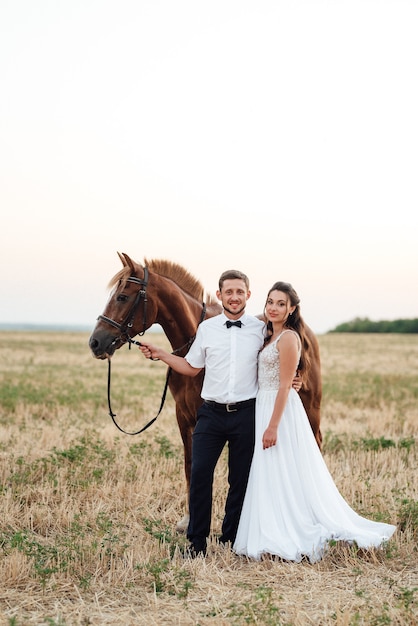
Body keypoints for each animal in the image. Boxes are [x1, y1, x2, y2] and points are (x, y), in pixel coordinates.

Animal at [89, 251, 324, 528]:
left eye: (122, 297)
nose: (96, 342)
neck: (193, 346)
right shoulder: (185, 418)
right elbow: (191, 466)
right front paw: (189, 519)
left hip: (311, 408)